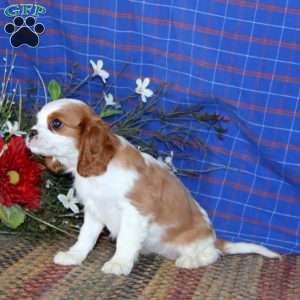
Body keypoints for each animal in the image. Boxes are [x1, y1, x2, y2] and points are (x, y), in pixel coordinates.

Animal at [25, 99, 278, 276]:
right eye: (37, 121)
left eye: (56, 124)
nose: (30, 132)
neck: (99, 172)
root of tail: (214, 238)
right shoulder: (94, 211)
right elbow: (86, 236)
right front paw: (74, 255)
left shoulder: (135, 212)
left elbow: (126, 240)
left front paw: (118, 263)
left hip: (197, 241)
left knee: (212, 255)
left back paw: (191, 260)